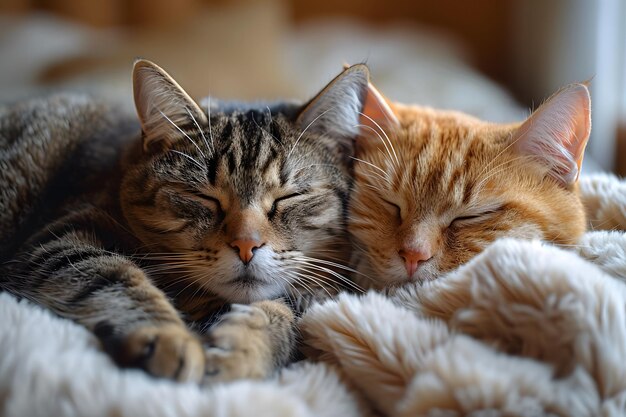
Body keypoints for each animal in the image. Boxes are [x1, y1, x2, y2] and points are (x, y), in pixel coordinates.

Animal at [0, 60, 368, 382]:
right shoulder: (61, 234)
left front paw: (246, 346)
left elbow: (299, 314)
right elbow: (110, 275)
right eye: (204, 197)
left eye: (288, 197)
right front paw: (166, 336)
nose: (246, 245)